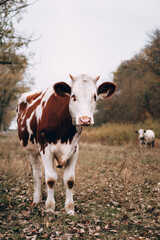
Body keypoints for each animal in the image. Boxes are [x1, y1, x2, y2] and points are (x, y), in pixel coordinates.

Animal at [16, 74, 116, 215]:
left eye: (95, 96)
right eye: (73, 96)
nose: (85, 119)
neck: (65, 132)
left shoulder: (74, 150)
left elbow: (69, 180)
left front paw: (69, 209)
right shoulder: (45, 149)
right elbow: (50, 179)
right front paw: (50, 207)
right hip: (31, 150)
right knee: (37, 174)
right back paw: (36, 200)